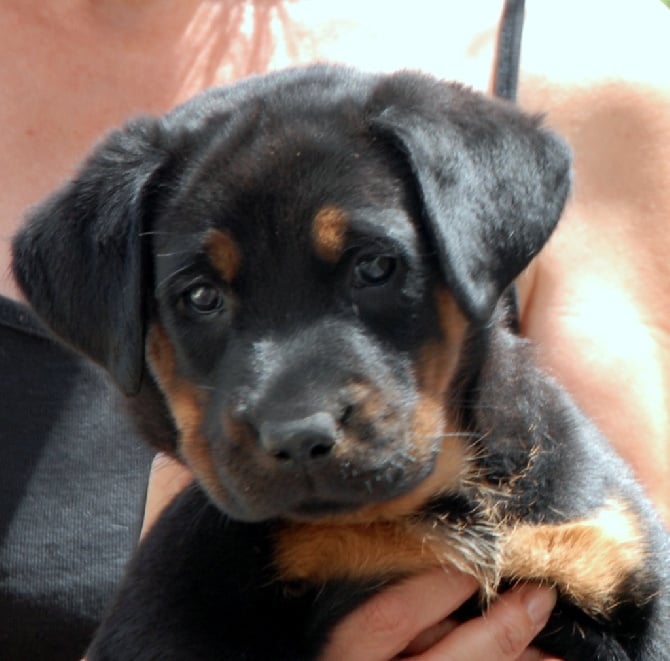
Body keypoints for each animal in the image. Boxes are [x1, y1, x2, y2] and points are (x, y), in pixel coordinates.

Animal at [11, 67, 670, 660]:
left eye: (374, 266)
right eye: (200, 296)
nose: (299, 439)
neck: (416, 510)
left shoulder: (610, 553)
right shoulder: (174, 601)